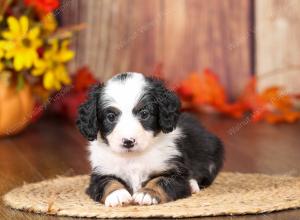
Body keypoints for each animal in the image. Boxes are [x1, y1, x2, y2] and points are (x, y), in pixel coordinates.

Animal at [76, 72, 224, 206]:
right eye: (111, 117)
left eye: (144, 114)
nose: (128, 142)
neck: (133, 158)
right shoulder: (100, 171)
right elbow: (107, 182)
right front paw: (117, 194)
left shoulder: (174, 170)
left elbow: (161, 181)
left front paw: (147, 194)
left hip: (212, 153)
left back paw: (193, 184)